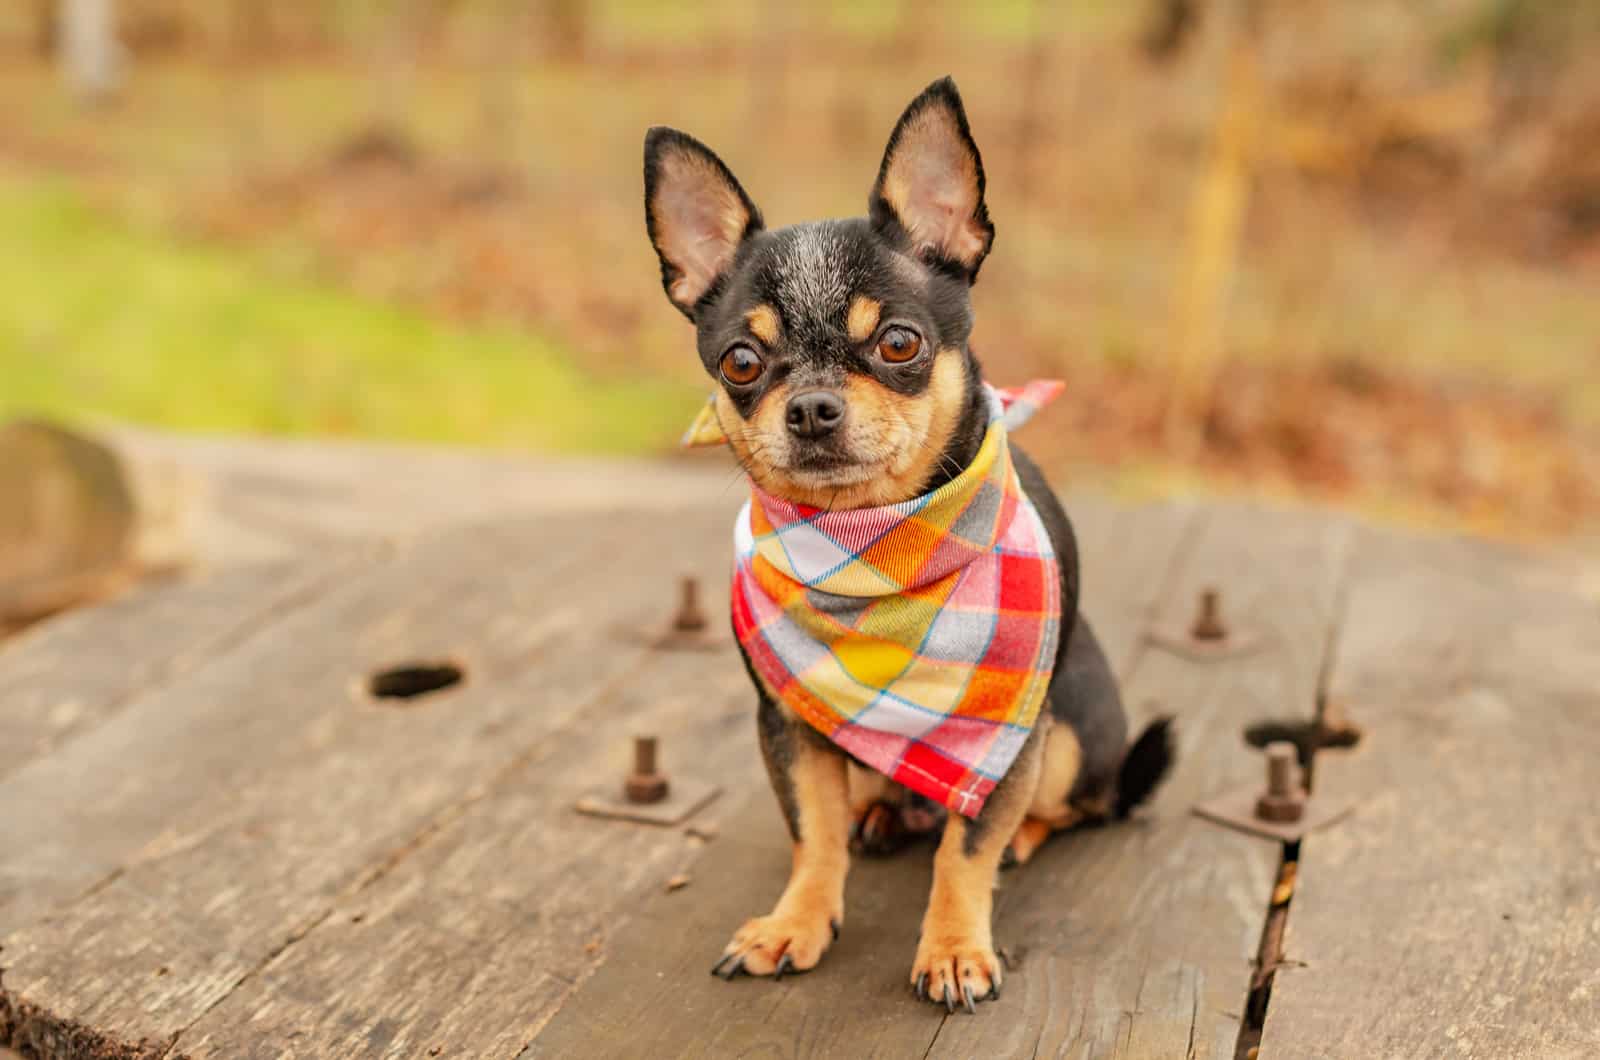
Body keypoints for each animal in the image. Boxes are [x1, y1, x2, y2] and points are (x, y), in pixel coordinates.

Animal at [640, 76, 1177, 1011]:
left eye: (900, 343)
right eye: (741, 362)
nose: (812, 407)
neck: (869, 549)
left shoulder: (1005, 734)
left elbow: (967, 850)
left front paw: (956, 947)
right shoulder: (791, 725)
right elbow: (811, 835)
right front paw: (797, 921)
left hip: (1072, 734)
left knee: (1061, 808)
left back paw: (1017, 834)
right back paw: (882, 813)